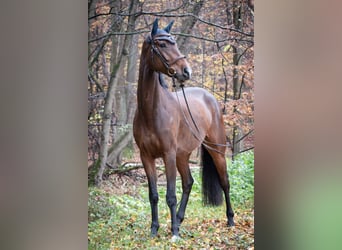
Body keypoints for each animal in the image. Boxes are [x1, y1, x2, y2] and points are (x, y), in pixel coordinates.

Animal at [132, 18, 234, 239]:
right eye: (162, 44)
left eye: (175, 42)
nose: (186, 72)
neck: (151, 111)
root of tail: (211, 98)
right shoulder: (146, 157)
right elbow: (153, 195)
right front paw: (155, 229)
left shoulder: (168, 154)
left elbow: (170, 195)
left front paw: (174, 233)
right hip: (183, 155)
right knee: (188, 182)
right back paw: (178, 219)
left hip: (217, 151)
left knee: (225, 182)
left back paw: (230, 220)